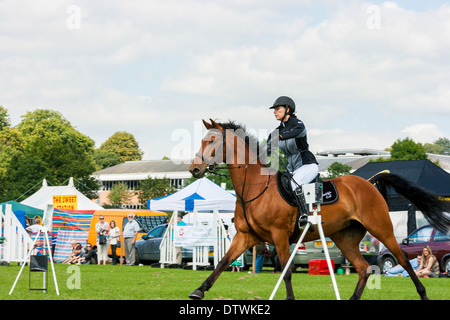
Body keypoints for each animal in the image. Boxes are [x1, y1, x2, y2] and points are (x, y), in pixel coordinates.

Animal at [187, 118, 450, 300]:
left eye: (212, 141)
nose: (194, 170)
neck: (254, 187)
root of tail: (368, 183)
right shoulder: (246, 236)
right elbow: (222, 263)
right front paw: (199, 291)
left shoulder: (279, 236)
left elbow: (286, 270)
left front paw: (290, 298)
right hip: (345, 237)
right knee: (363, 268)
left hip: (381, 228)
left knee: (403, 259)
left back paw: (423, 294)